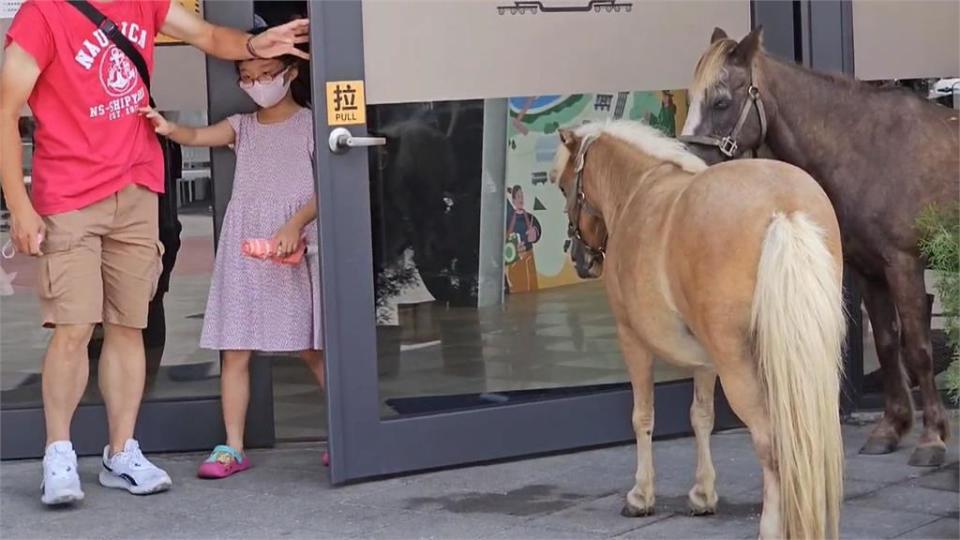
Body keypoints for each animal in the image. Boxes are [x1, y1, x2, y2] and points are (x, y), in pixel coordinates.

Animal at [552, 122, 844, 540]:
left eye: (564, 188)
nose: (581, 260)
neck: (636, 190)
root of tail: (784, 213)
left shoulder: (632, 339)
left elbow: (643, 415)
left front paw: (640, 495)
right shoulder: (706, 360)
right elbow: (701, 415)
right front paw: (703, 494)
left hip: (741, 368)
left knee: (771, 444)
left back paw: (771, 527)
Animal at [680, 26, 956, 468]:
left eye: (721, 101)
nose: (689, 161)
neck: (869, 148)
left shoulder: (904, 264)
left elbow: (917, 348)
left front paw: (932, 438)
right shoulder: (870, 271)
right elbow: (887, 342)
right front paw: (891, 429)